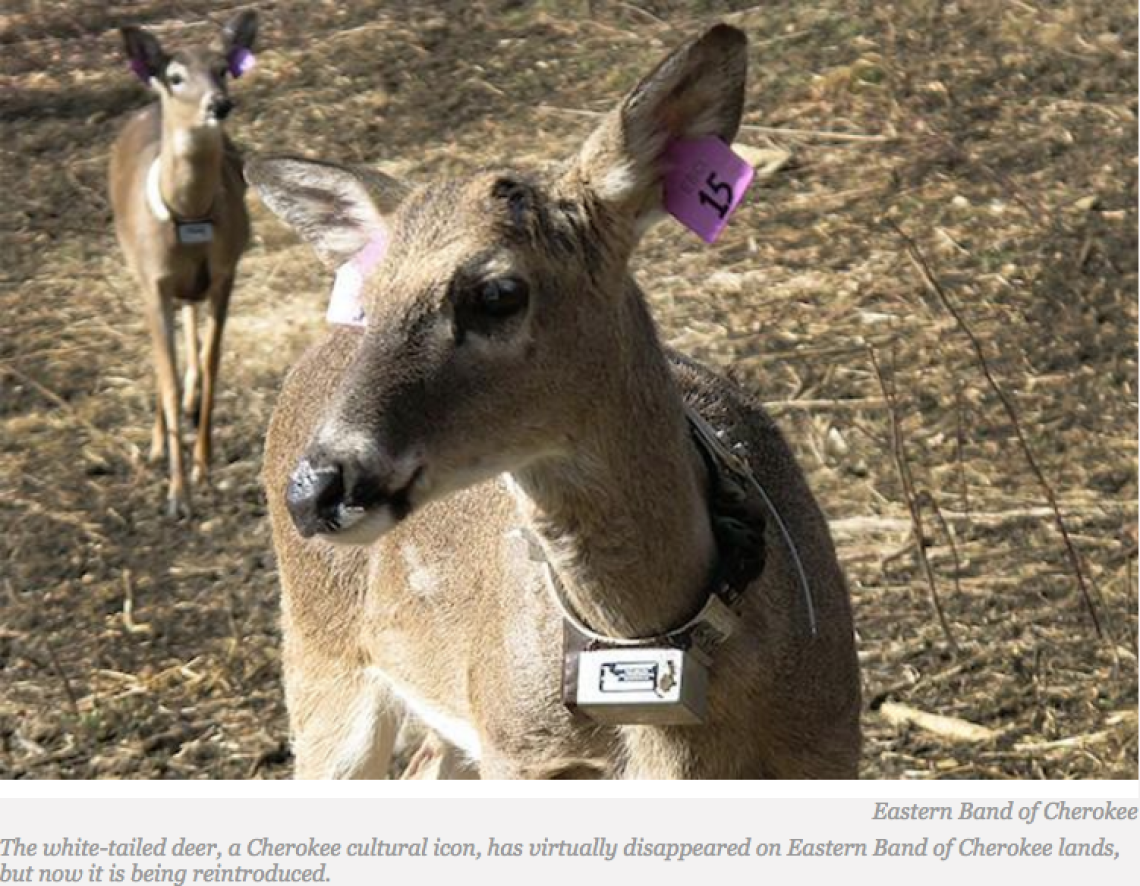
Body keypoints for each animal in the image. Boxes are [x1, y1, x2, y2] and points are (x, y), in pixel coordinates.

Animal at [108, 10, 256, 515]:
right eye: (175, 77)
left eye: (223, 68)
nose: (220, 104)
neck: (188, 217)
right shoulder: (152, 279)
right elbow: (166, 373)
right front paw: (177, 494)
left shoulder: (227, 271)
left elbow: (212, 365)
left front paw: (203, 467)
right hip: (135, 265)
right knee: (163, 354)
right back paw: (156, 444)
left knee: (190, 319)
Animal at [247, 24, 857, 779]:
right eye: (371, 299)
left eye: (498, 293)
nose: (317, 490)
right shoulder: (523, 750)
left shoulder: (833, 740)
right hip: (324, 659)